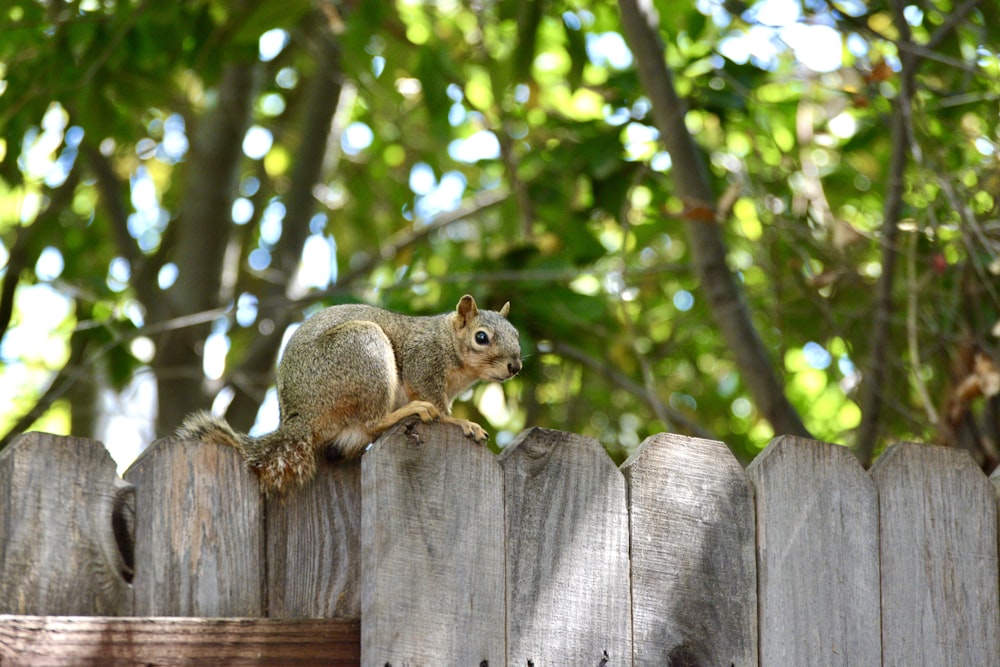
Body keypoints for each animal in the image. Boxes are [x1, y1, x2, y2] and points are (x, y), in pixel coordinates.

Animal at [177, 296, 524, 496]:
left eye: (517, 335)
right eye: (481, 338)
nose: (516, 366)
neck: (448, 342)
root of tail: (302, 417)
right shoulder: (424, 364)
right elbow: (440, 408)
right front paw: (462, 424)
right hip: (363, 350)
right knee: (373, 421)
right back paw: (404, 412)